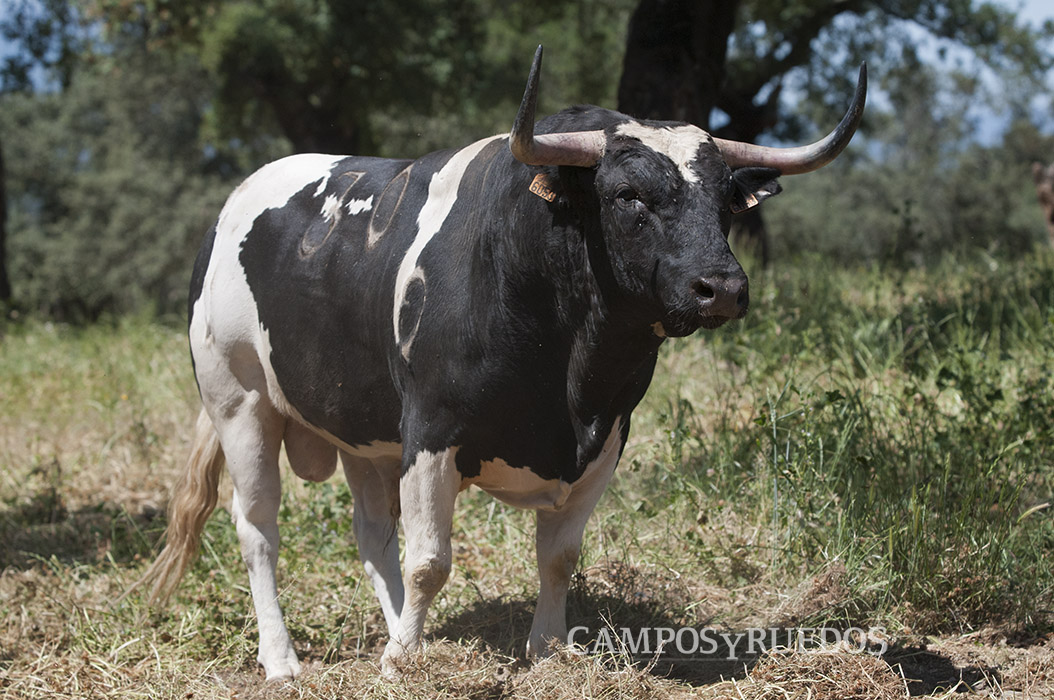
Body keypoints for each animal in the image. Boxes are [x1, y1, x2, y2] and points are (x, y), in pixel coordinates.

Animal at [138, 45, 864, 678]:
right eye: (628, 195)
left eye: (724, 200)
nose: (724, 287)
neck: (570, 376)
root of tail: (234, 202)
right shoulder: (432, 432)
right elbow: (430, 559)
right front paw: (402, 666)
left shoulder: (608, 438)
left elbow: (559, 556)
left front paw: (544, 651)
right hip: (240, 403)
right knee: (258, 527)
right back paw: (284, 658)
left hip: (363, 432)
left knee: (372, 535)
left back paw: (401, 632)